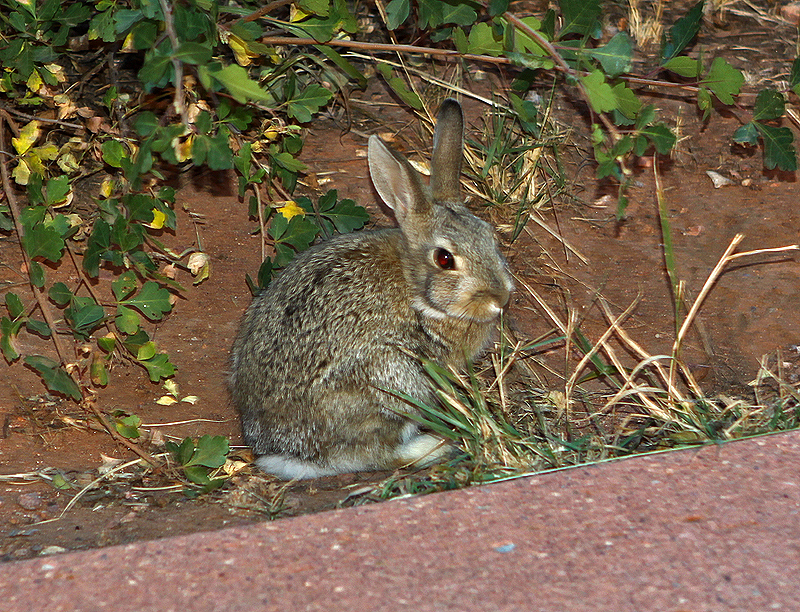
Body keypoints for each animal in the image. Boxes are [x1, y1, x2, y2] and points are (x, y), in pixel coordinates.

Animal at [228, 98, 512, 480]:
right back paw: (437, 445)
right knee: (379, 455)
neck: (414, 287)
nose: (499, 299)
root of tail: (290, 452)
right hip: (394, 382)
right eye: (444, 259)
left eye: (489, 237)